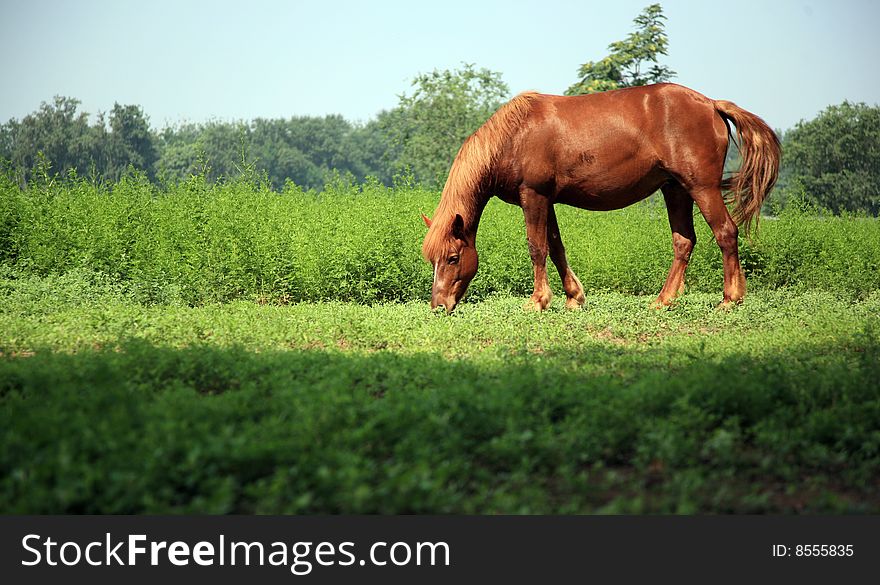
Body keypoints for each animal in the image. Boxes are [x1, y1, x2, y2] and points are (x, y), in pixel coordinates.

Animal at [422, 82, 780, 312]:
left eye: (452, 258)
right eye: (433, 260)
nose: (439, 306)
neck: (514, 135)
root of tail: (711, 104)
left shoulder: (533, 196)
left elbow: (537, 248)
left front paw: (538, 301)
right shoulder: (548, 200)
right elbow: (556, 247)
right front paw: (573, 297)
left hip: (701, 188)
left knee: (726, 233)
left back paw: (730, 299)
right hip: (676, 189)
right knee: (684, 242)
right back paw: (663, 300)